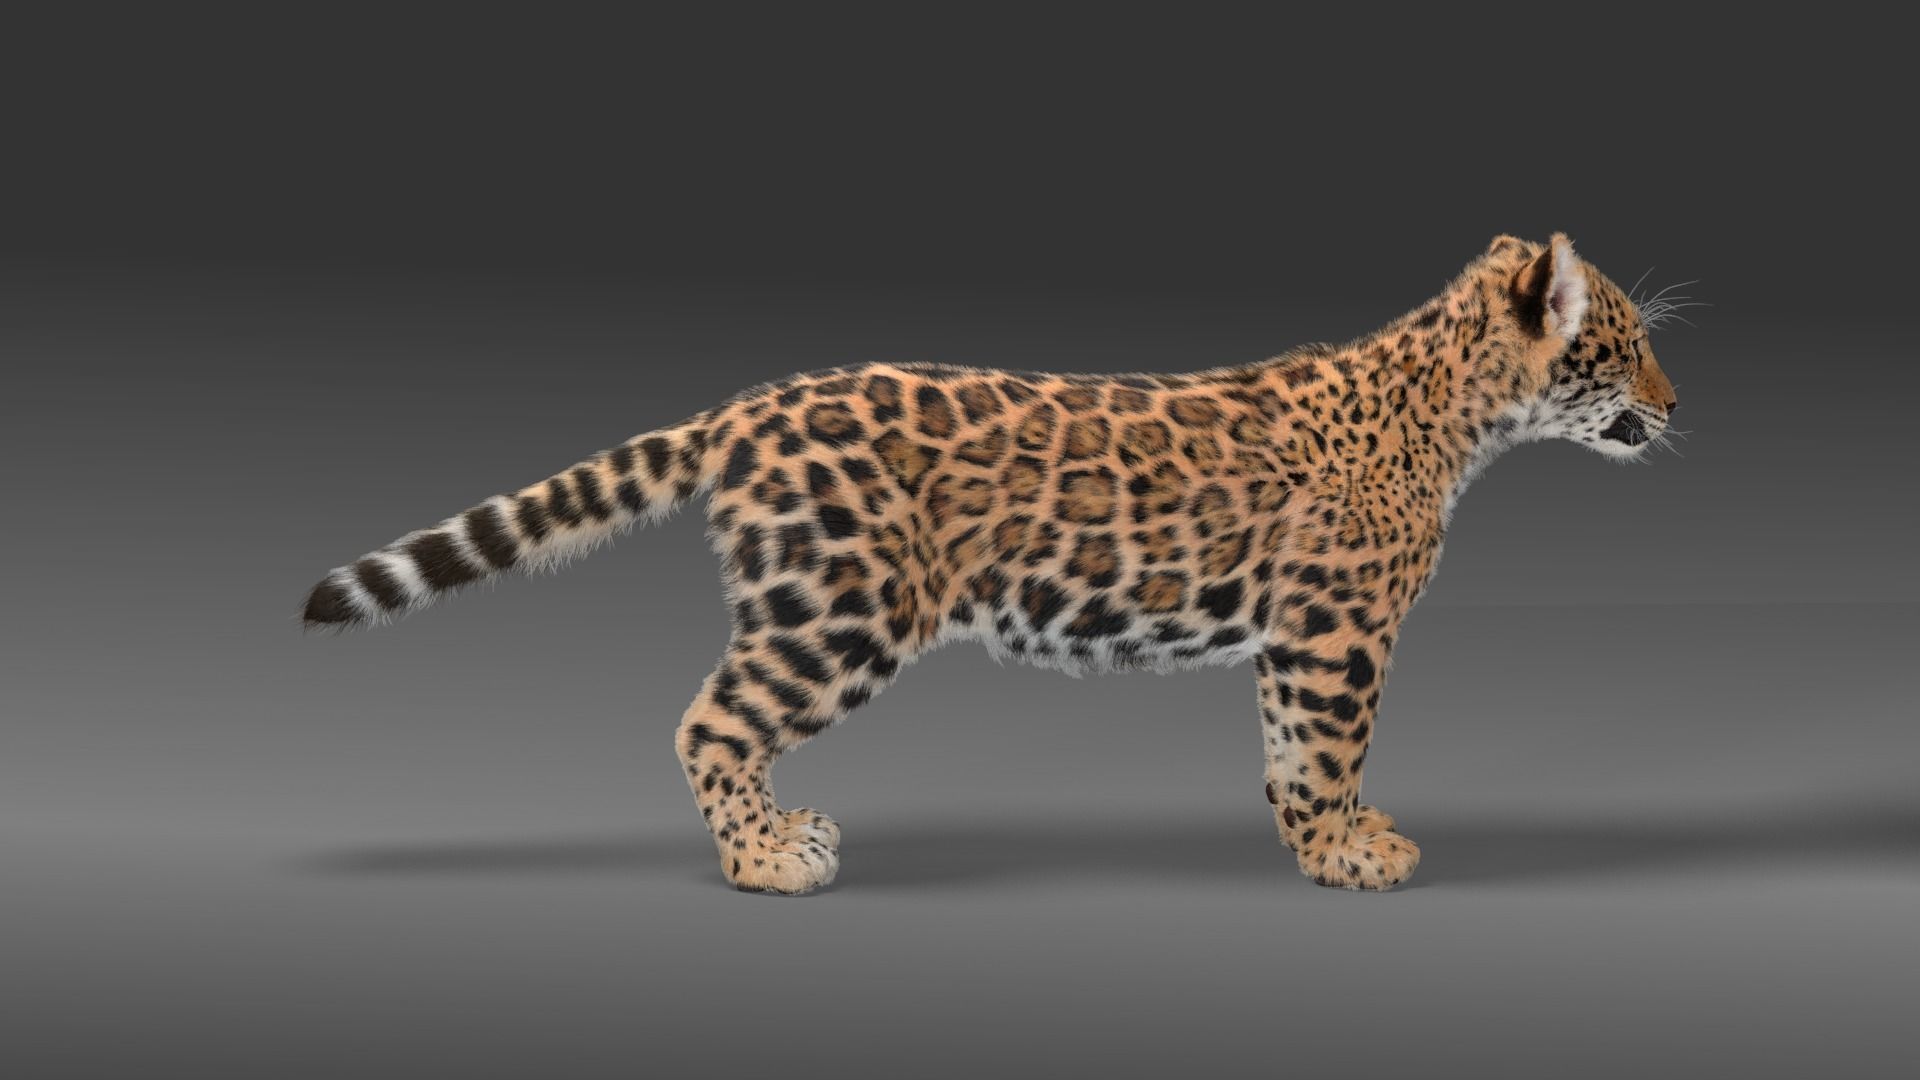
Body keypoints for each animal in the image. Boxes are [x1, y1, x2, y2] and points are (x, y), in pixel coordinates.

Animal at [301, 233, 1680, 893]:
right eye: (1620, 349)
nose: (1678, 405)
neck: (1452, 407)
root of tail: (744, 409)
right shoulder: (1335, 627)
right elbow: (1326, 748)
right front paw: (1346, 853)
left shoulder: (1301, 635)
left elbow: (1294, 753)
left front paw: (1329, 842)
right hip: (841, 610)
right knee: (710, 721)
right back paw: (768, 859)